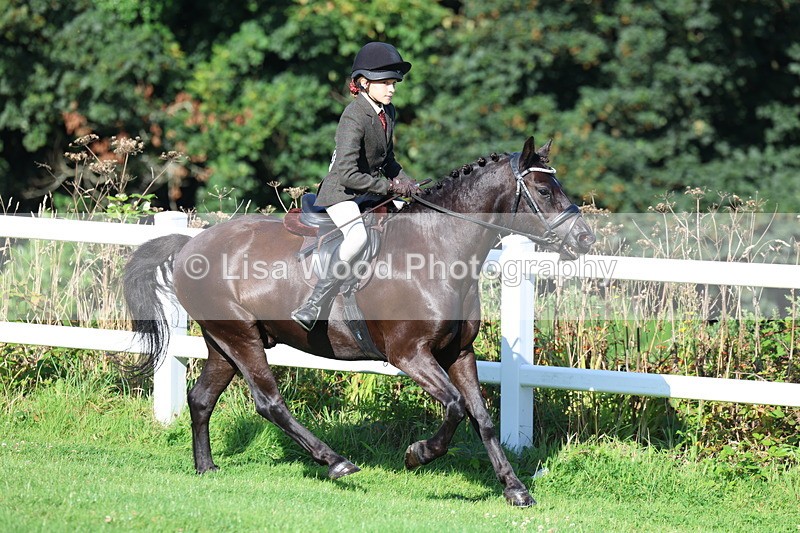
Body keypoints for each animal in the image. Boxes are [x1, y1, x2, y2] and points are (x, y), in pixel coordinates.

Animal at [123, 136, 595, 507]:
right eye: (543, 190)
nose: (585, 238)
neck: (439, 249)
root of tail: (190, 245)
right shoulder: (410, 355)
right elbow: (455, 407)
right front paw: (418, 454)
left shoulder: (459, 353)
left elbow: (482, 417)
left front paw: (514, 488)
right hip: (241, 338)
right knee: (269, 402)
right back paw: (336, 462)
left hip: (224, 340)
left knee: (201, 399)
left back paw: (206, 468)